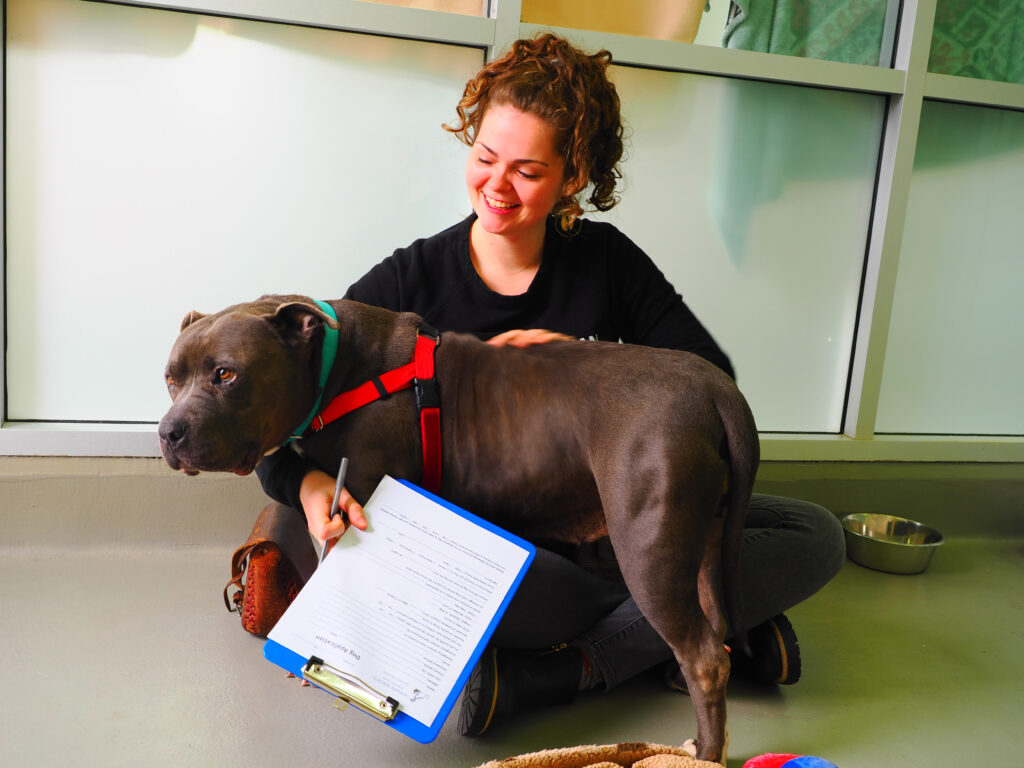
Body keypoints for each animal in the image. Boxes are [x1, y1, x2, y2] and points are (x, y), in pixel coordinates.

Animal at [158, 294, 759, 764]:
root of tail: (717, 388)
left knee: (704, 657)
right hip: (704, 540)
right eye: (170, 378)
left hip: (647, 547)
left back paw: (704, 754)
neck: (337, 371)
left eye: (226, 374)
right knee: (716, 630)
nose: (168, 432)